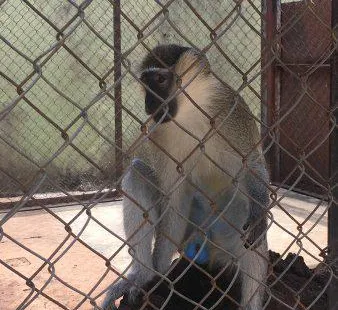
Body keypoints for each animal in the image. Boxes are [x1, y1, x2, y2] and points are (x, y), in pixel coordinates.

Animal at [101, 44, 270, 308]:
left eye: (160, 80)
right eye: (146, 82)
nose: (150, 104)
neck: (191, 111)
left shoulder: (231, 109)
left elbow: (251, 163)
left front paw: (260, 209)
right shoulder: (158, 131)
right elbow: (173, 198)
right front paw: (157, 273)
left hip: (230, 228)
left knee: (250, 229)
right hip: (190, 229)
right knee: (137, 173)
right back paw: (145, 274)